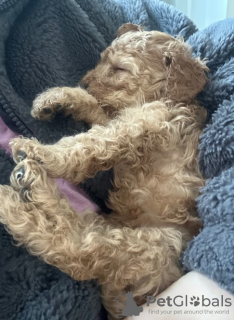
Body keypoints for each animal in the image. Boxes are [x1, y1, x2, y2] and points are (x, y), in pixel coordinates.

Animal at [0, 23, 208, 318]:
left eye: (120, 69)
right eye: (101, 60)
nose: (85, 81)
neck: (169, 99)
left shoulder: (137, 127)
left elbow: (88, 144)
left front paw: (41, 152)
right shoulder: (122, 118)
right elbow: (94, 108)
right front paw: (56, 97)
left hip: (154, 246)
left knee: (79, 250)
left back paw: (15, 199)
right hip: (114, 227)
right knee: (73, 225)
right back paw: (34, 189)